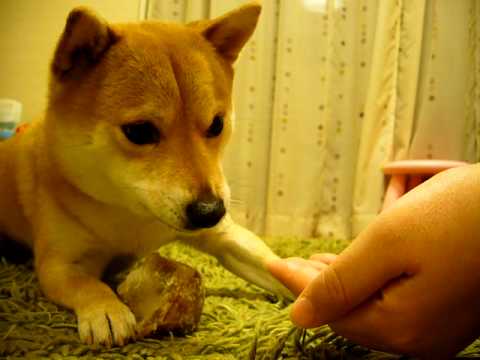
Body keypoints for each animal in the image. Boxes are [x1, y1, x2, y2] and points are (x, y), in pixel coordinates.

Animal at [0, 2, 288, 346]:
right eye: (140, 132)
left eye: (217, 124)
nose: (210, 211)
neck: (130, 212)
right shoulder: (58, 264)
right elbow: (88, 286)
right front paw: (106, 310)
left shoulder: (223, 236)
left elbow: (273, 265)